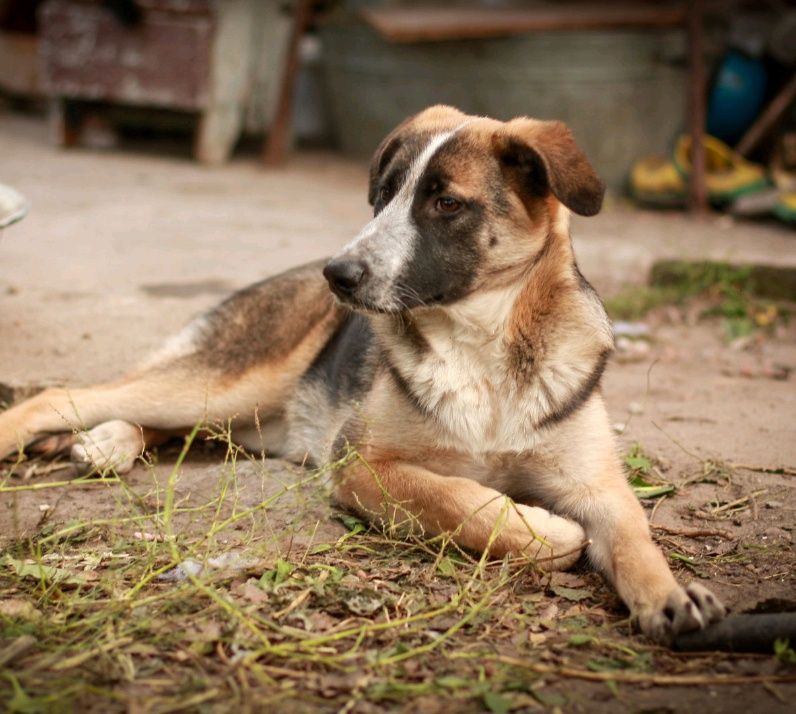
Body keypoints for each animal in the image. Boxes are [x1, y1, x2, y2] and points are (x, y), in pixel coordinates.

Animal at [0, 105, 724, 644]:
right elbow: (459, 502)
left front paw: (670, 595)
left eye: (445, 204)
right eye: (383, 197)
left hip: (236, 413)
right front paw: (548, 531)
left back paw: (106, 442)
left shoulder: (596, 482)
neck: (484, 343)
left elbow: (633, 536)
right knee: (67, 394)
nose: (338, 274)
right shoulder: (363, 464)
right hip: (227, 381)